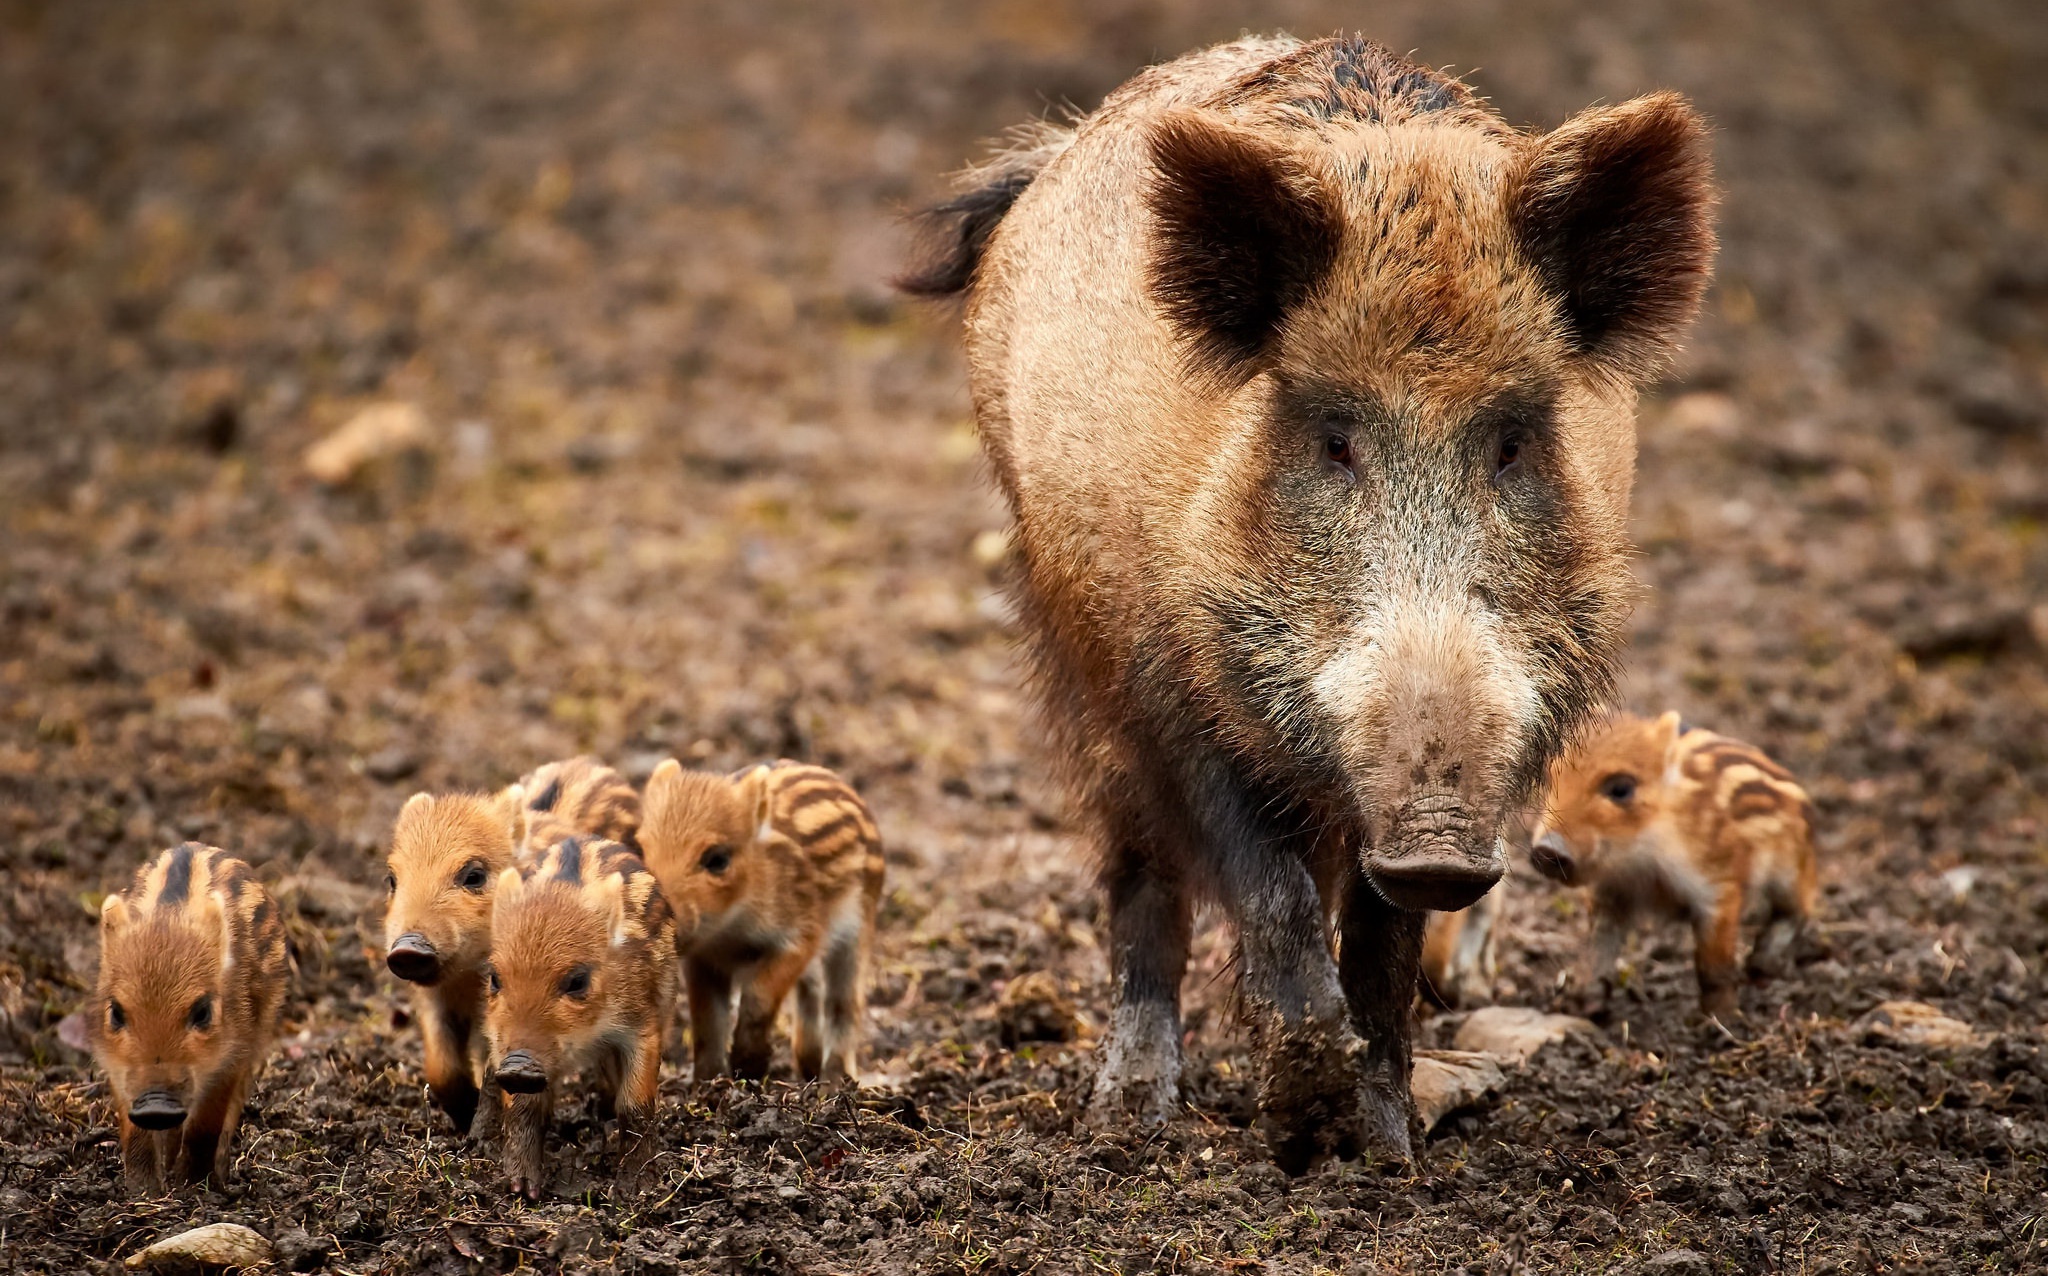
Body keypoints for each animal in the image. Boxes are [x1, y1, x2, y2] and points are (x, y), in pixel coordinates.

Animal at [90, 843, 290, 1192]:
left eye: (202, 1011)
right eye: (115, 1012)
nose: (156, 1106)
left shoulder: (233, 1054)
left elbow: (207, 1123)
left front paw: (193, 1187)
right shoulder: (117, 1065)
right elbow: (135, 1131)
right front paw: (144, 1192)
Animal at [484, 835, 677, 1200]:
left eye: (577, 981)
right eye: (495, 978)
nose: (518, 1064)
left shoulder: (643, 1026)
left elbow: (636, 1105)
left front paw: (634, 1190)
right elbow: (523, 1107)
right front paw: (522, 1190)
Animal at [639, 759, 885, 1084]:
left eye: (717, 859)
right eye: (642, 850)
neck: (731, 926)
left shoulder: (801, 934)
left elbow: (759, 996)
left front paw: (748, 1068)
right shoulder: (702, 958)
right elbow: (706, 1017)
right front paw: (708, 1082)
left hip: (859, 927)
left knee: (845, 1001)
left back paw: (835, 1079)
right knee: (812, 988)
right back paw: (808, 1067)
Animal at [902, 34, 1714, 1168]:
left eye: (1513, 442)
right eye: (1333, 440)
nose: (1434, 839)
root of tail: (1054, 154)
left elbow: (1381, 947)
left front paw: (1386, 1151)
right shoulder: (1169, 682)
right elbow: (1269, 891)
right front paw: (1295, 1126)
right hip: (1069, 643)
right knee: (1138, 870)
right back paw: (1128, 1116)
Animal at [1529, 710, 1818, 1016]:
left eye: (1621, 788)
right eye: (1550, 777)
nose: (1546, 850)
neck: (1641, 855)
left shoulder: (1717, 885)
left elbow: (1713, 964)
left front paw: (1720, 1017)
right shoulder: (1609, 891)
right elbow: (1598, 946)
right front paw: (1574, 1005)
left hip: (1794, 869)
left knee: (1800, 907)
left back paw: (1762, 966)